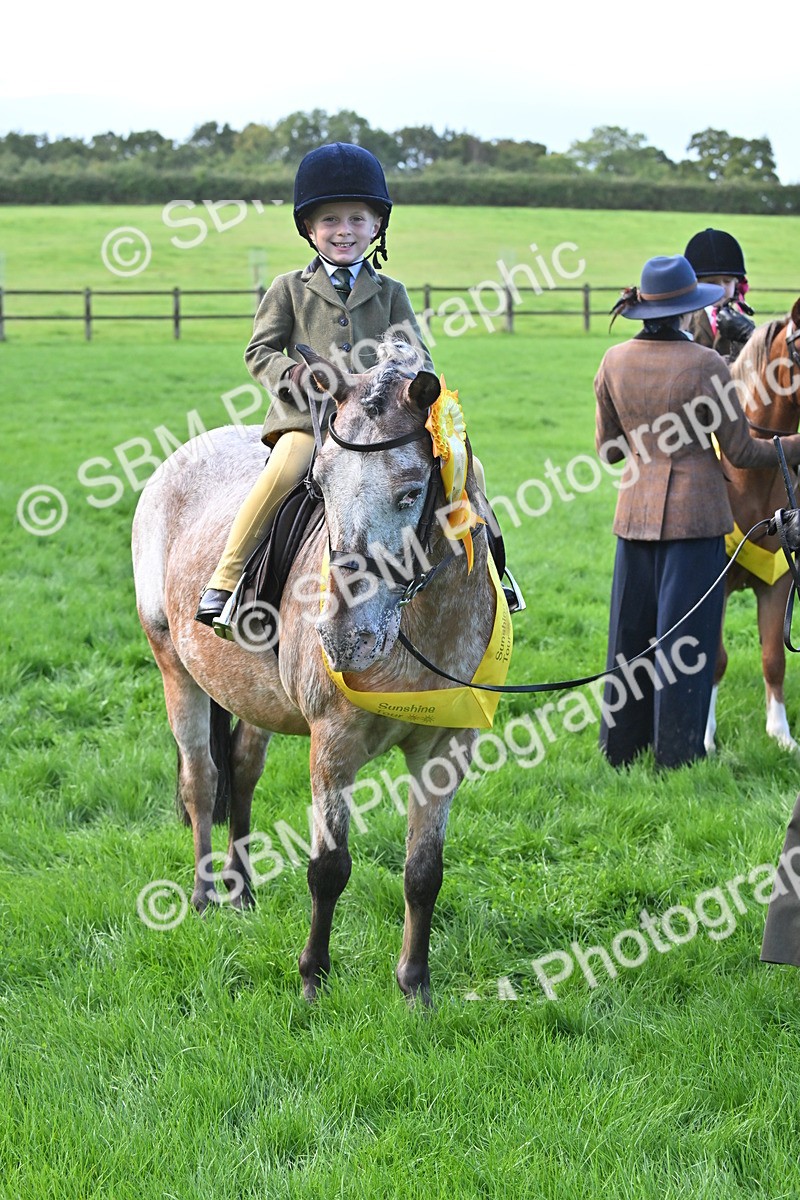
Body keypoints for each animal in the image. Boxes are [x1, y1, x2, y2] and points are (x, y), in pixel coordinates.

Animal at [131, 338, 504, 1005]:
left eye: (412, 491)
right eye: (321, 486)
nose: (343, 636)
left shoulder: (444, 748)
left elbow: (423, 871)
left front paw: (415, 986)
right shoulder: (333, 745)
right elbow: (329, 867)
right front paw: (313, 978)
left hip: (250, 693)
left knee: (242, 772)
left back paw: (241, 890)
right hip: (175, 668)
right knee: (202, 779)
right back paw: (204, 895)